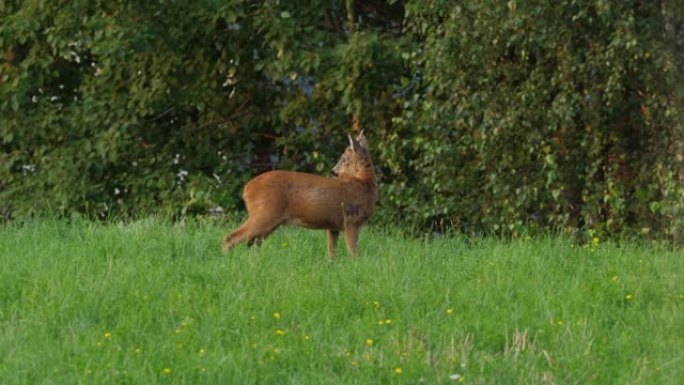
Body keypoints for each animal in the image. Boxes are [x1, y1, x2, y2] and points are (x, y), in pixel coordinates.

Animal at [222, 130, 376, 258]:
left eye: (344, 159)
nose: (334, 171)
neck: (364, 184)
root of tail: (247, 189)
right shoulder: (351, 220)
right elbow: (354, 253)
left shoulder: (333, 226)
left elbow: (332, 254)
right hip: (265, 213)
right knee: (231, 237)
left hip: (269, 220)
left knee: (252, 243)